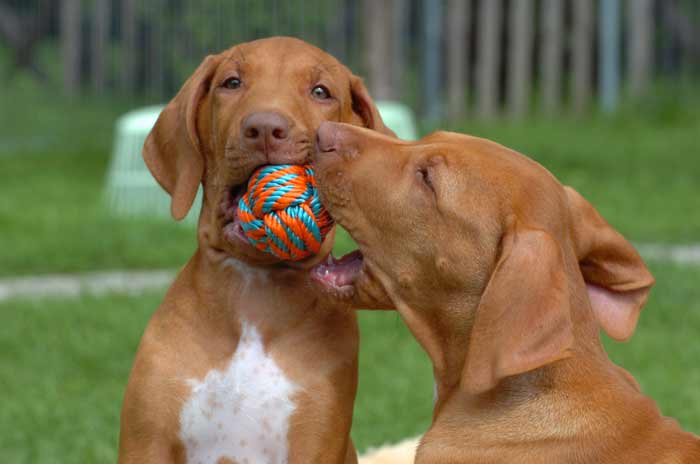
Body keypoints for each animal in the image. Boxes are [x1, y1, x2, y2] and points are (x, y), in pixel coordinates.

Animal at [117, 37, 396, 464]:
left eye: (320, 92)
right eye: (232, 83)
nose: (264, 128)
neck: (254, 291)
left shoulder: (315, 443)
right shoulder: (146, 442)